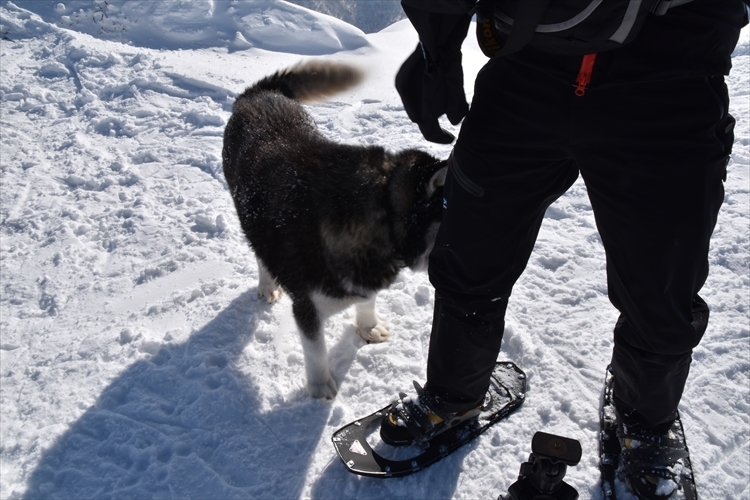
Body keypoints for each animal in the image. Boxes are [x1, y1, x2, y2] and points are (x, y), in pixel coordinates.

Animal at [222, 61, 446, 398]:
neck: (381, 209)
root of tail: (258, 94)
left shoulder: (368, 273)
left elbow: (367, 301)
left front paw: (368, 326)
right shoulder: (306, 305)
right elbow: (316, 349)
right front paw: (320, 386)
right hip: (247, 211)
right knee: (261, 251)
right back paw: (267, 283)